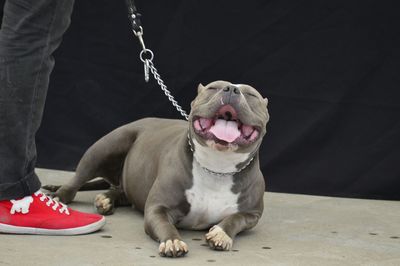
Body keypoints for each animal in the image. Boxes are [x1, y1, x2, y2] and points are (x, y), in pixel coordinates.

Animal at [44, 80, 268, 256]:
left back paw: (107, 199)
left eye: (251, 95)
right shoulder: (157, 207)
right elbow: (163, 224)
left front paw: (222, 234)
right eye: (214, 87)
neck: (217, 167)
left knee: (122, 191)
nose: (231, 89)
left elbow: (236, 218)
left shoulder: (252, 214)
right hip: (105, 146)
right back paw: (60, 197)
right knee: (76, 181)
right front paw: (172, 241)